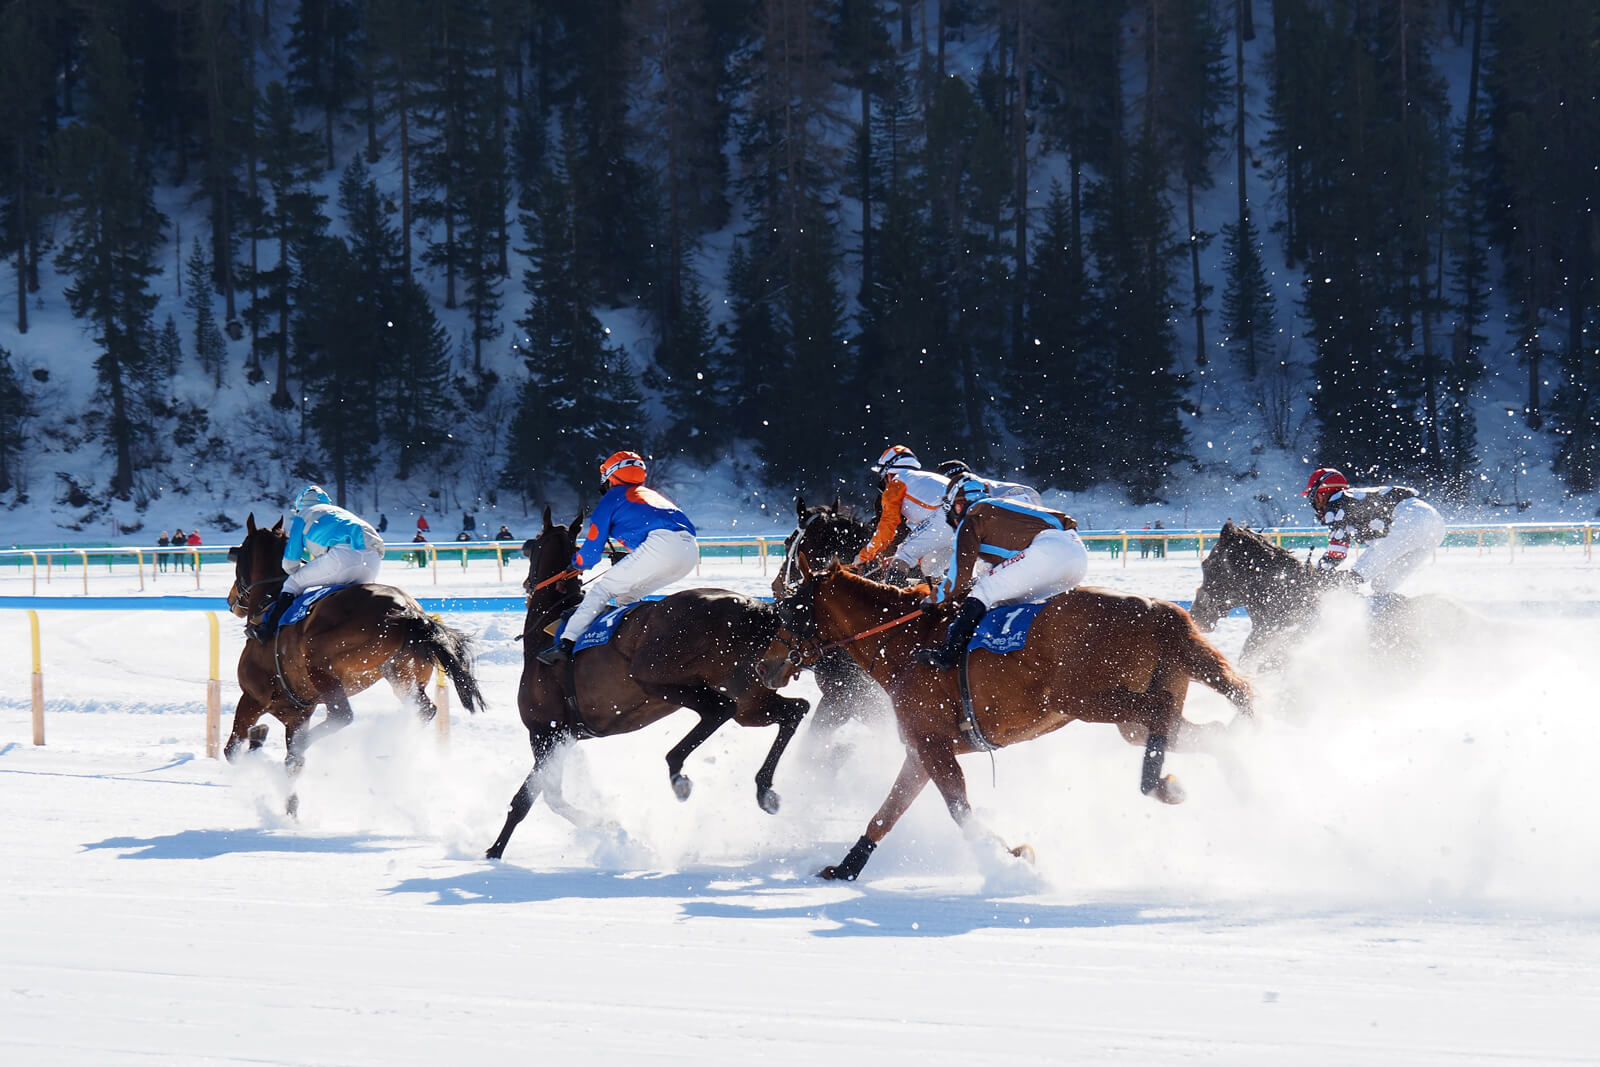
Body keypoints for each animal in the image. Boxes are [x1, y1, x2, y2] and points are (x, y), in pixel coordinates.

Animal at [225, 511, 483, 812]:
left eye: (241, 554)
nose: (231, 599)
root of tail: (407, 610)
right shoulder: (297, 714)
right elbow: (290, 768)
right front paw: (290, 810)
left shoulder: (252, 698)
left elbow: (232, 751)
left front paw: (258, 744)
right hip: (400, 674)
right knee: (424, 709)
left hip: (321, 664)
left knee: (341, 716)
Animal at [476, 508, 806, 857]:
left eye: (534, 544)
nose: (526, 578)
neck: (548, 627)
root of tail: (754, 608)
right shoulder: (565, 737)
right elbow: (549, 796)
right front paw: (604, 823)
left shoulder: (546, 732)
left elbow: (530, 799)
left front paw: (495, 850)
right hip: (749, 700)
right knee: (794, 710)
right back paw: (764, 789)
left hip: (656, 678)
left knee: (720, 710)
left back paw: (677, 772)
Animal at [774, 566, 1248, 883]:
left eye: (789, 609)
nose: (768, 665)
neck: (905, 642)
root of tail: (1159, 609)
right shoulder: (922, 747)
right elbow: (886, 813)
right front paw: (845, 867)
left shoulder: (932, 745)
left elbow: (959, 809)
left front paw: (1011, 855)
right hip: (1130, 712)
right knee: (1201, 729)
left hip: (1087, 698)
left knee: (1161, 710)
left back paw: (1158, 783)